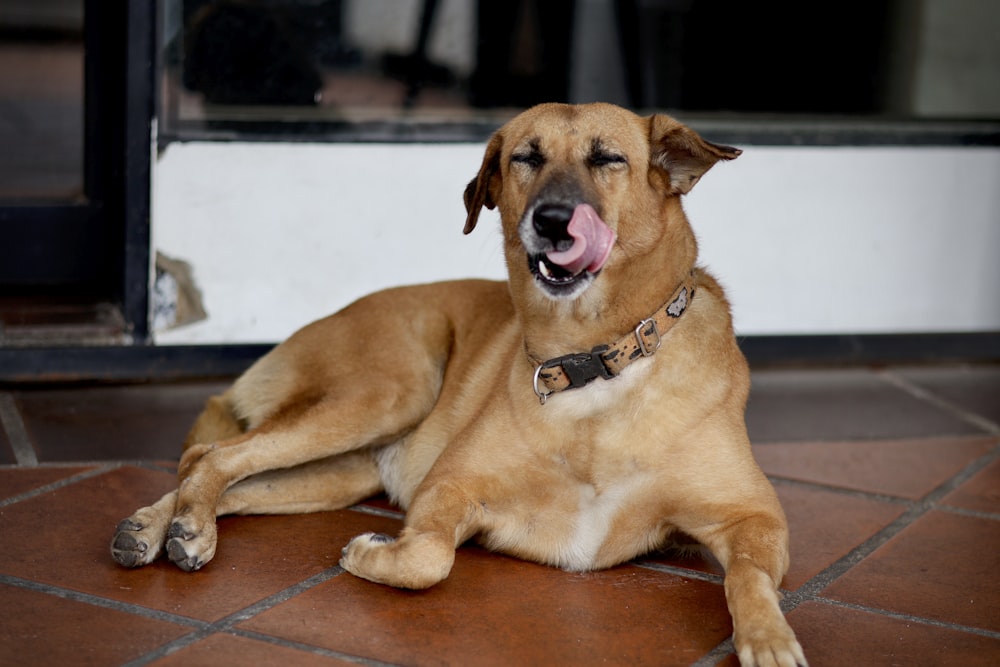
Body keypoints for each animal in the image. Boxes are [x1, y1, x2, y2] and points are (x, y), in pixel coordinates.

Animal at [113, 102, 808, 664]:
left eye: (608, 158)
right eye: (527, 157)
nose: (553, 220)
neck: (592, 363)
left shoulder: (756, 518)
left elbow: (748, 577)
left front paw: (769, 639)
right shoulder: (451, 485)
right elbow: (428, 558)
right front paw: (371, 554)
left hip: (340, 470)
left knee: (231, 478)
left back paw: (161, 528)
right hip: (386, 396)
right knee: (211, 455)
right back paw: (180, 526)